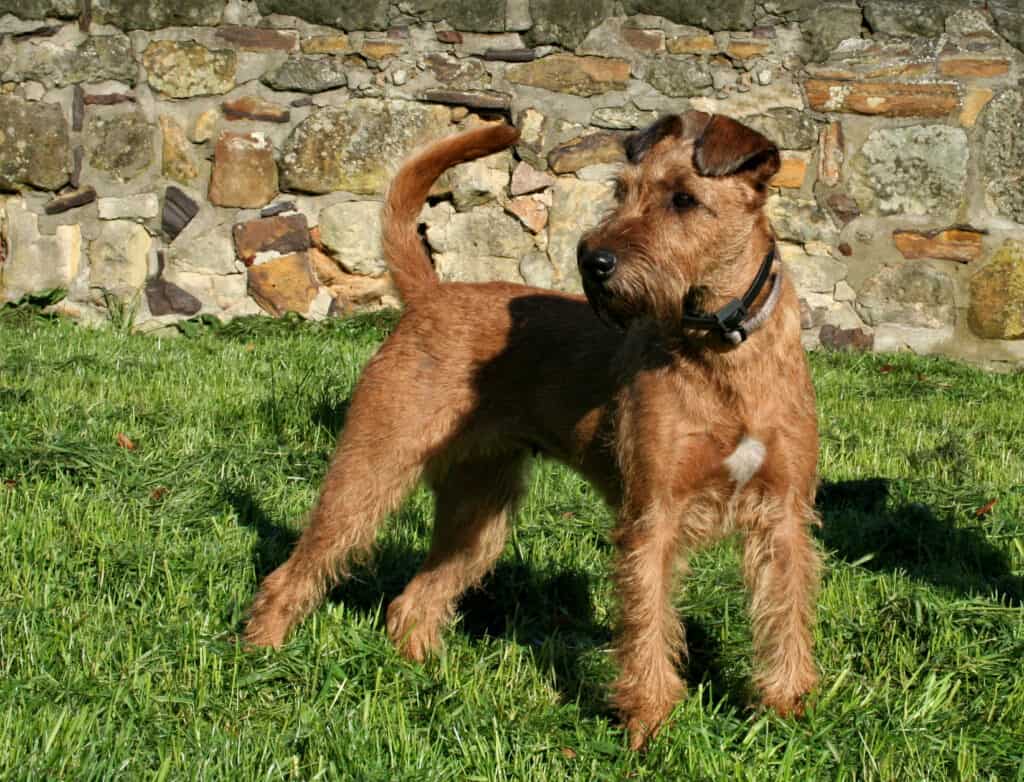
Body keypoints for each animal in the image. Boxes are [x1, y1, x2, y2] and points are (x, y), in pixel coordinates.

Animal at [243, 113, 819, 749]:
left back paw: (424, 676)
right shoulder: (653, 515)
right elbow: (647, 622)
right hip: (371, 468)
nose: (593, 259)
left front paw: (787, 710)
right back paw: (261, 658)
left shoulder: (784, 514)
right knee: (298, 569)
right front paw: (649, 724)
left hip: (480, 511)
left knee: (413, 601)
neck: (724, 353)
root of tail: (431, 294)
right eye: (622, 190)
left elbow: (786, 613)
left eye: (684, 199)